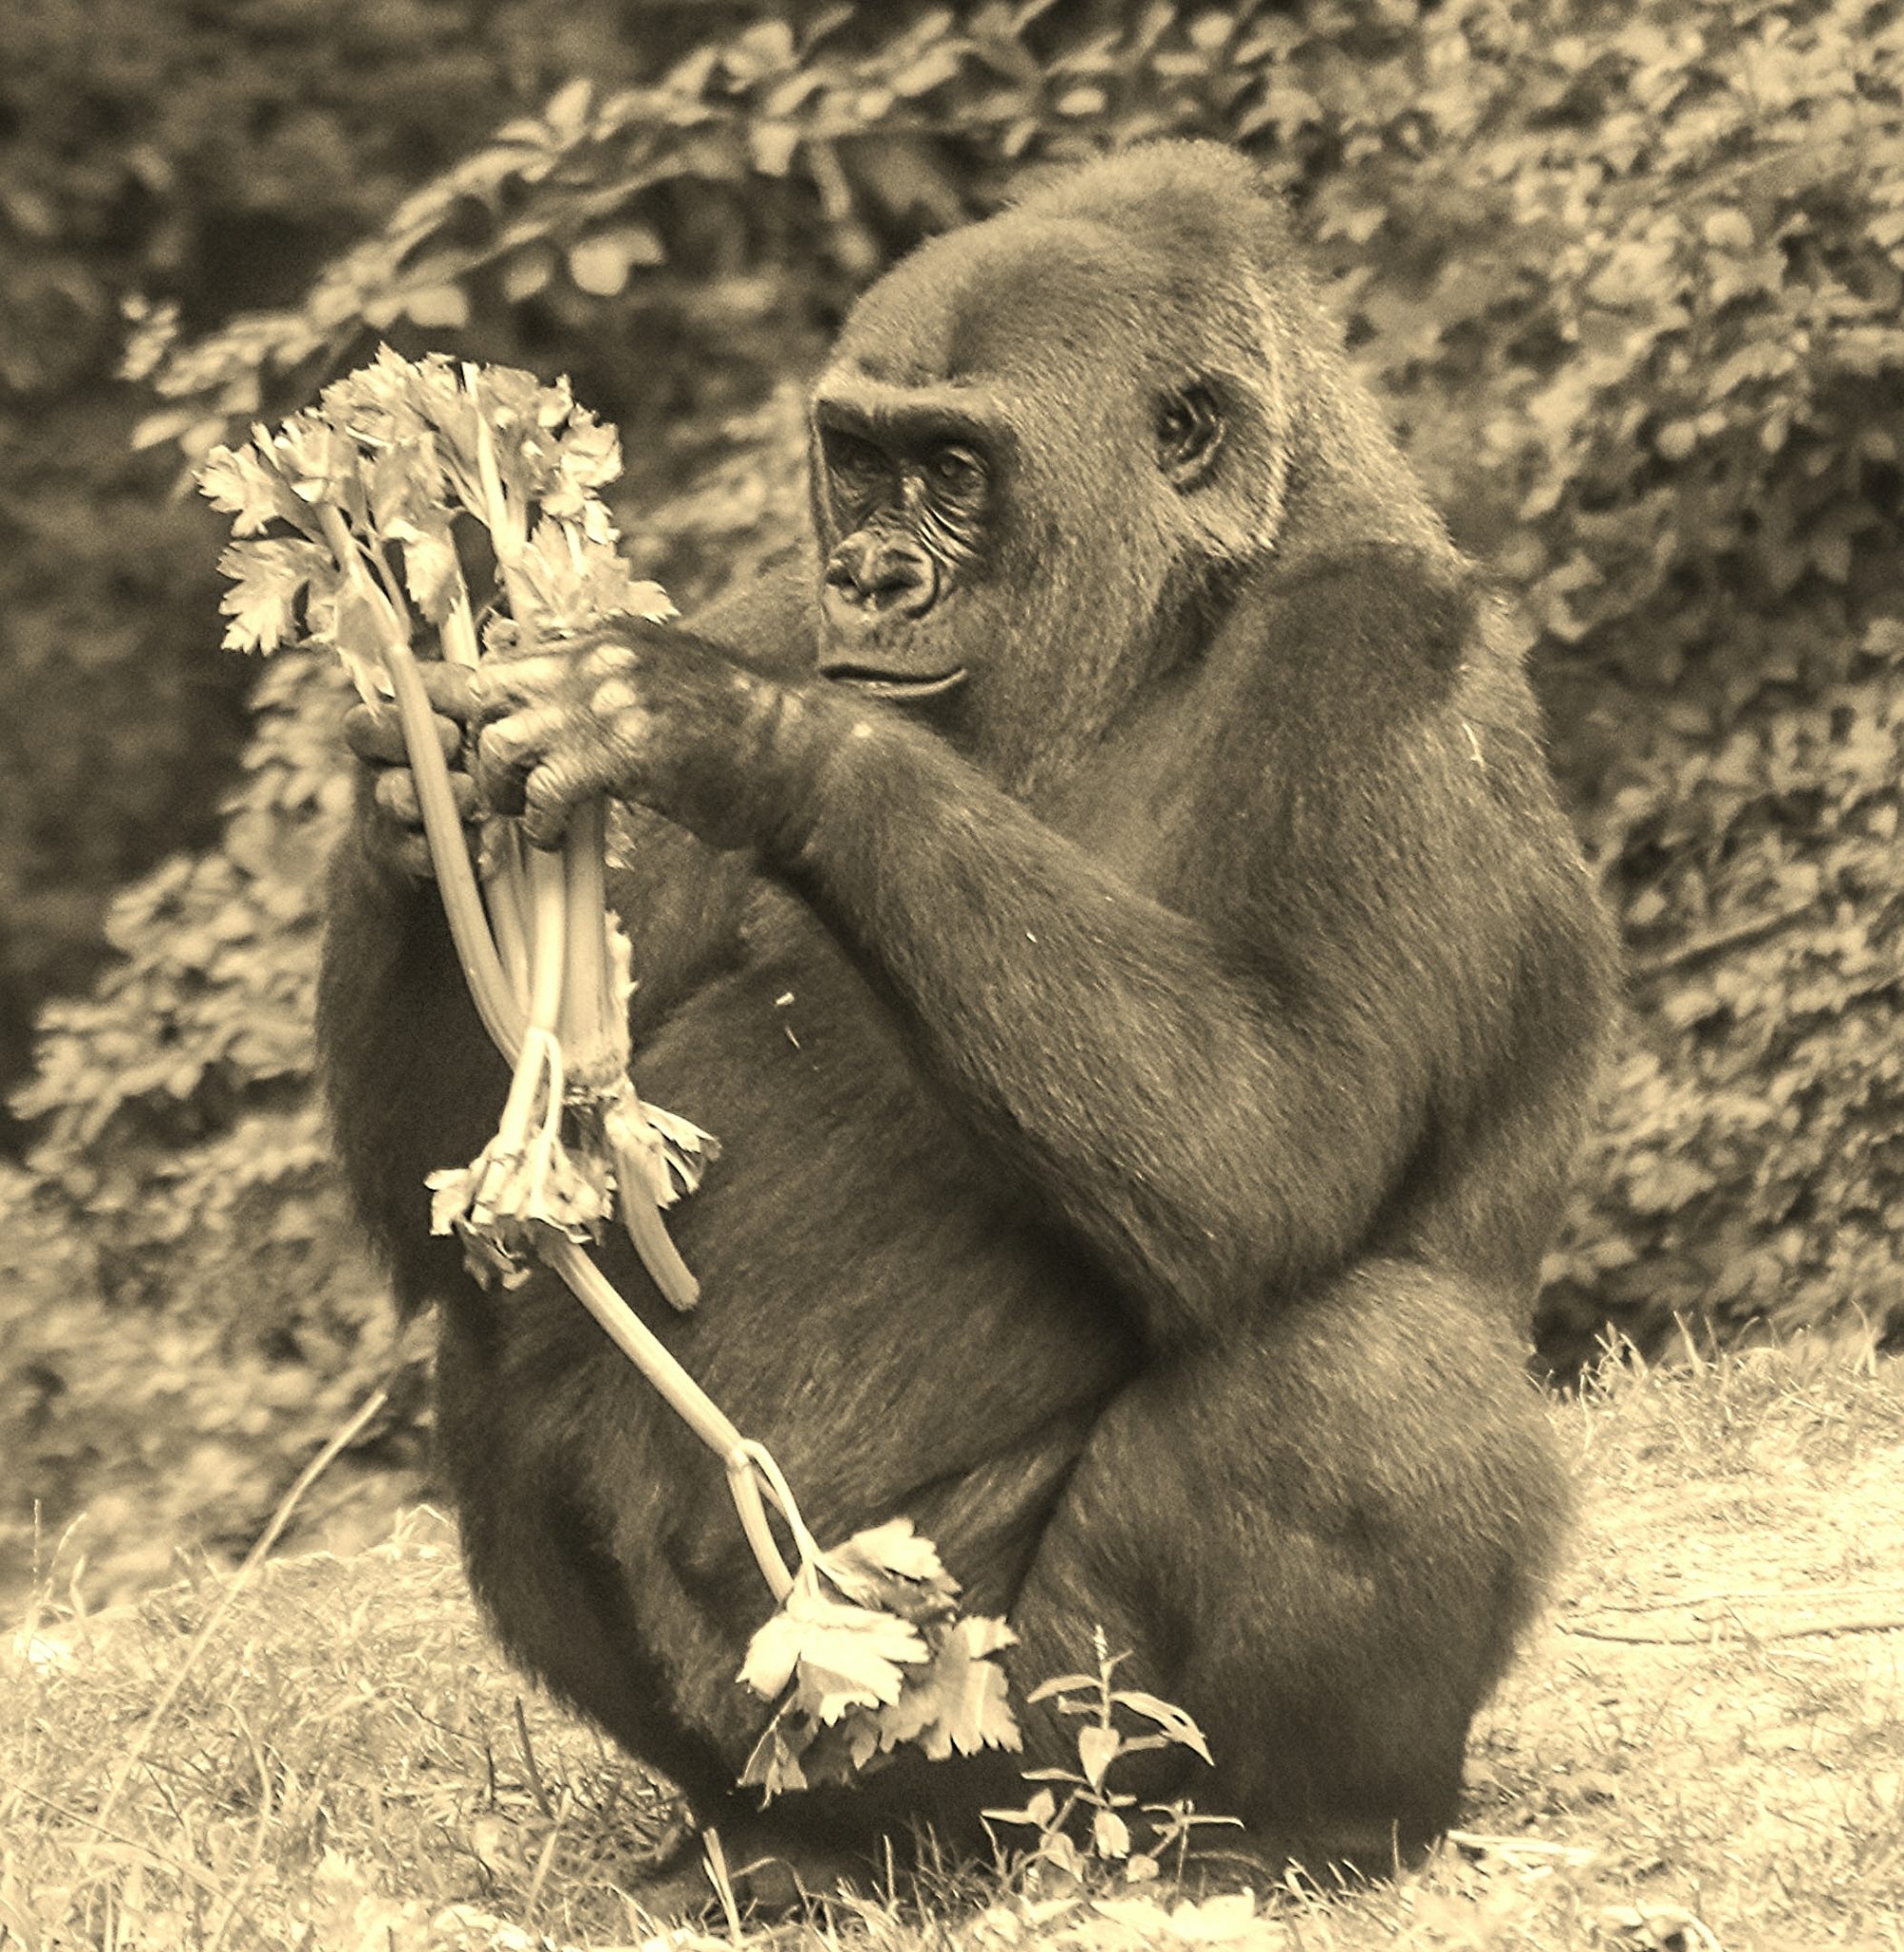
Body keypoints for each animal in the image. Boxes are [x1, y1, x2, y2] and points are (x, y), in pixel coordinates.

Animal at [319, 141, 1615, 1904]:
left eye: (952, 469)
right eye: (856, 464)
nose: (870, 575)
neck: (1173, 620)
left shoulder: (1384, 666)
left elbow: (1274, 1131)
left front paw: (748, 733)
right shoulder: (770, 593)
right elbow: (487, 1200)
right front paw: (415, 783)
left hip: (1016, 1731)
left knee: (1363, 1374)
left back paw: (1302, 1830)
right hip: (829, 1734)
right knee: (502, 1336)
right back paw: (760, 1848)